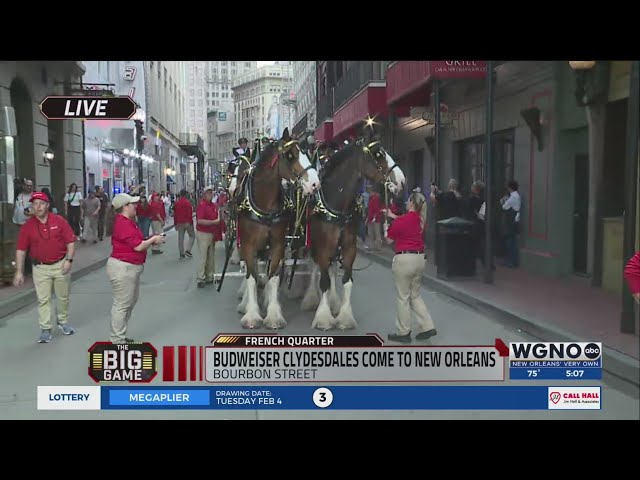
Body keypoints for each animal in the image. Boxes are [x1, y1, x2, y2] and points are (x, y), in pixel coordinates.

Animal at [235, 127, 320, 330]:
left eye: (305, 153)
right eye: (290, 155)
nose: (315, 183)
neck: (264, 205)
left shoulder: (278, 245)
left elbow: (273, 277)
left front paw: (273, 315)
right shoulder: (248, 245)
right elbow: (251, 277)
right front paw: (252, 315)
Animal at [302, 130, 404, 330]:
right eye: (378, 154)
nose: (402, 180)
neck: (337, 203)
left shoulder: (349, 247)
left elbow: (346, 281)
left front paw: (344, 317)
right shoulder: (322, 246)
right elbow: (323, 281)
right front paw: (324, 318)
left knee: (331, 269)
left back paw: (333, 301)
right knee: (315, 269)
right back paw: (312, 299)